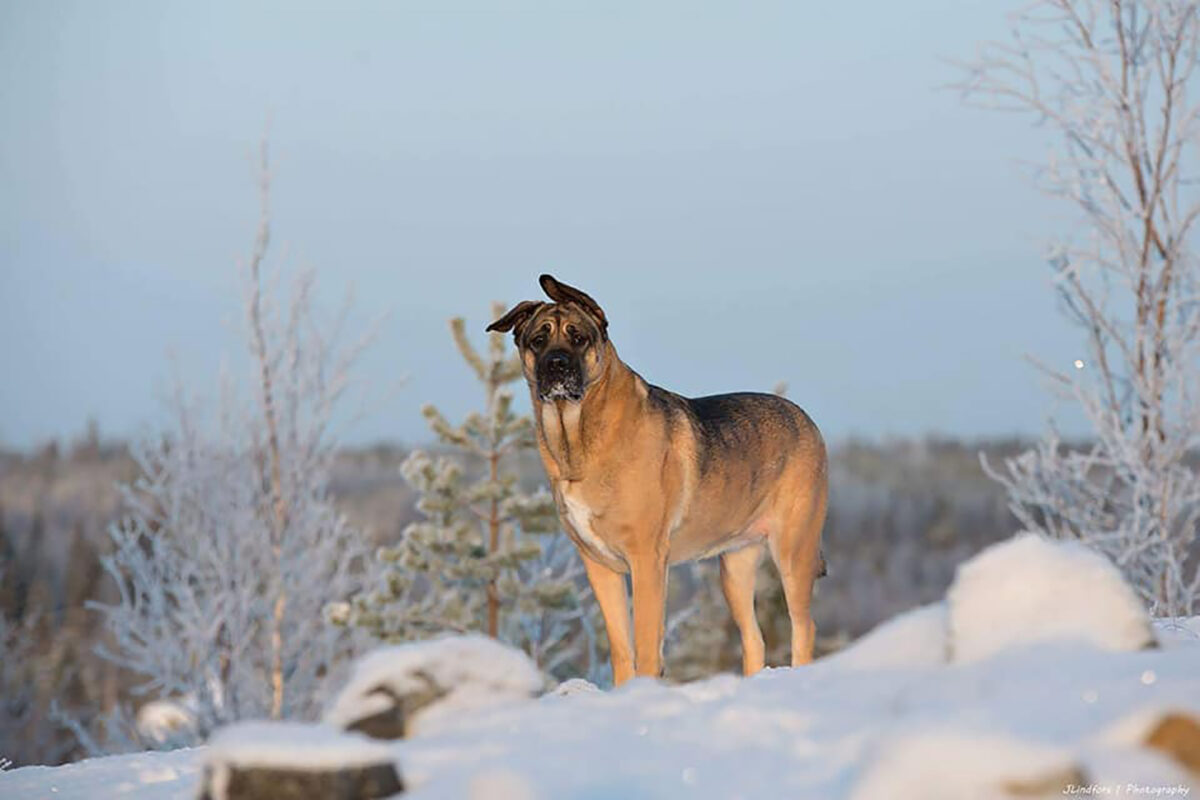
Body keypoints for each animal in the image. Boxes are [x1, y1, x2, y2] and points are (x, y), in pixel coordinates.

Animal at [487, 278, 825, 686]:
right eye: (538, 340)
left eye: (578, 337)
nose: (556, 364)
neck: (579, 435)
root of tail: (805, 419)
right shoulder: (599, 566)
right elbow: (621, 648)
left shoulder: (646, 559)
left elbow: (646, 644)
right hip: (735, 566)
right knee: (754, 639)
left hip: (795, 549)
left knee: (803, 627)